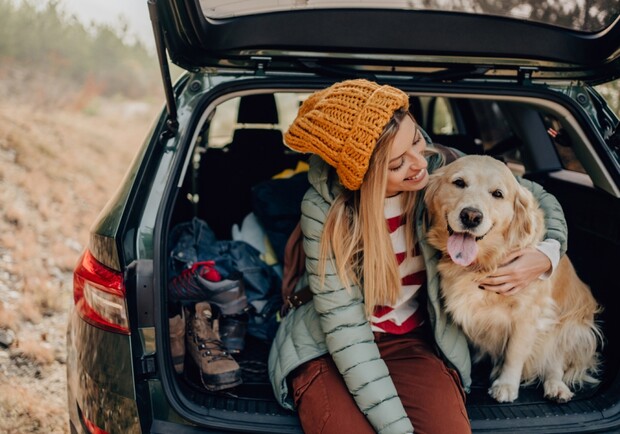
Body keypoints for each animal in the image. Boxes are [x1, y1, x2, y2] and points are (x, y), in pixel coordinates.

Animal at [426, 155, 600, 404]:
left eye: (498, 194)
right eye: (459, 183)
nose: (471, 216)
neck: (485, 262)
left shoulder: (529, 314)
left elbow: (514, 354)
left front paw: (506, 385)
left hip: (570, 326)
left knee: (555, 361)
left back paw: (556, 387)